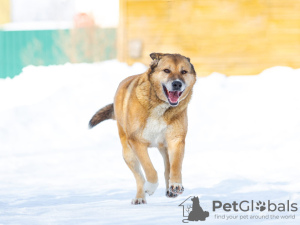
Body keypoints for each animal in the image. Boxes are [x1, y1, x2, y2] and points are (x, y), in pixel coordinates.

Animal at [89, 52, 197, 204]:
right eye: (167, 70)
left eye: (184, 72)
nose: (177, 83)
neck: (159, 106)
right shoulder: (137, 142)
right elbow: (149, 169)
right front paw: (150, 187)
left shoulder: (176, 140)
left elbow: (175, 166)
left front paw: (176, 185)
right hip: (128, 154)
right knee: (139, 177)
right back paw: (140, 196)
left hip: (163, 147)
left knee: (167, 168)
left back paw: (170, 190)